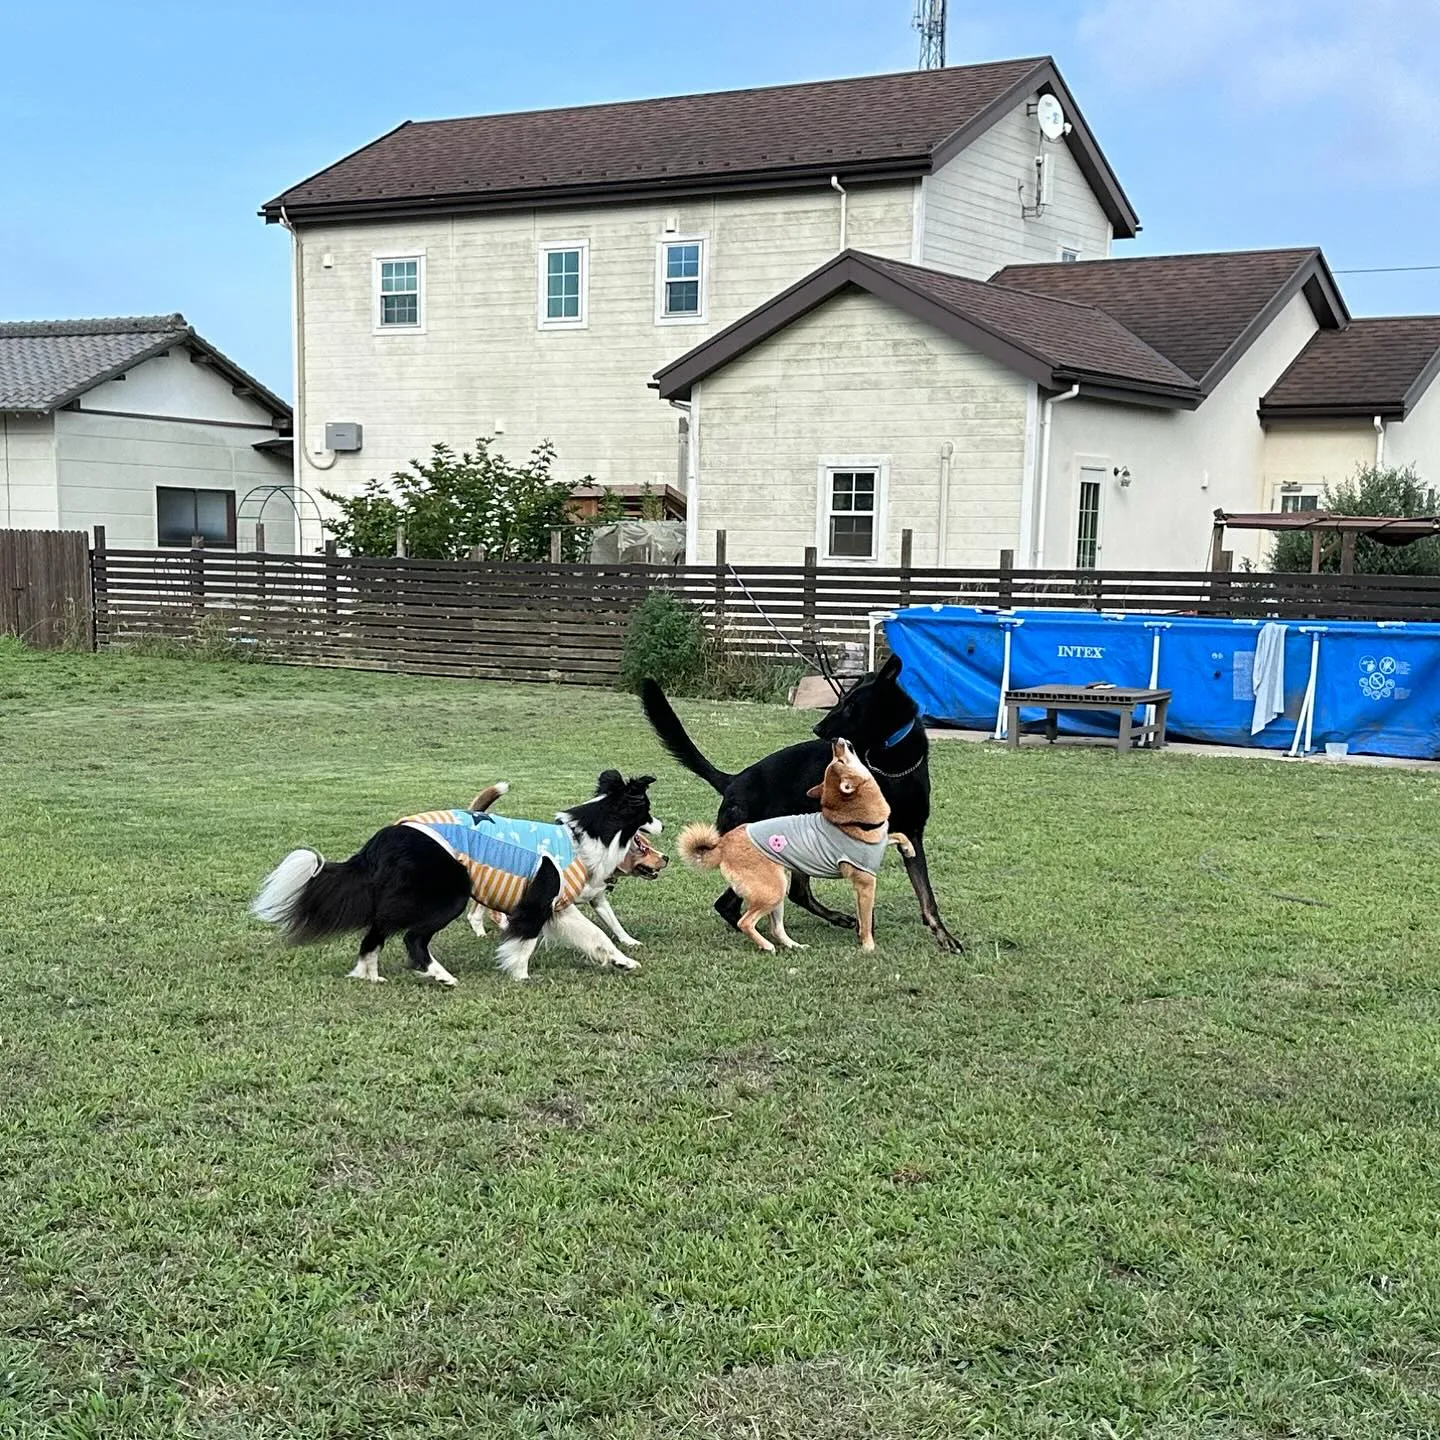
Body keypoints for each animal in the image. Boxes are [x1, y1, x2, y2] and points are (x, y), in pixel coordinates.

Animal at [639, 659, 956, 950]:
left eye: (851, 703)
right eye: (841, 700)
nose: (818, 728)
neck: (889, 759)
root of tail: (733, 781)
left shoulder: (912, 834)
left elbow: (926, 895)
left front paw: (944, 936)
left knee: (791, 895)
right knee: (735, 903)